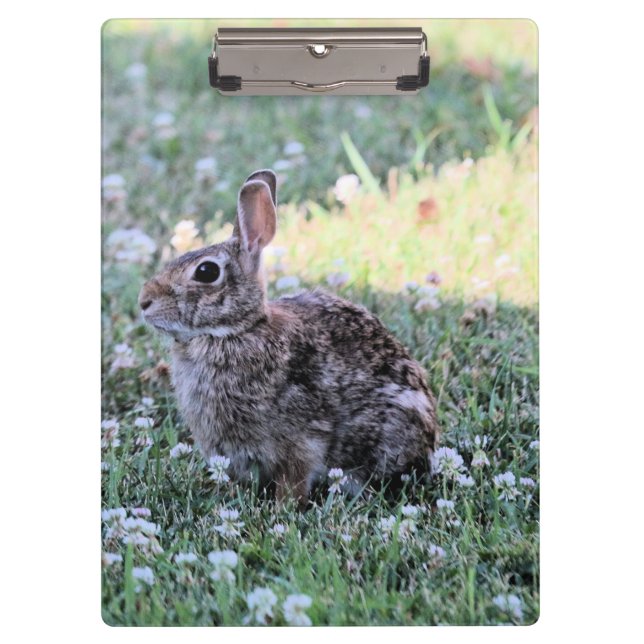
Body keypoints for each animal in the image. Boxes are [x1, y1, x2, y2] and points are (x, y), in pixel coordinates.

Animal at [139, 169, 440, 506]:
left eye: (206, 272)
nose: (144, 301)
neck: (238, 330)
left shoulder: (302, 439)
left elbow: (295, 478)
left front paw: (283, 507)